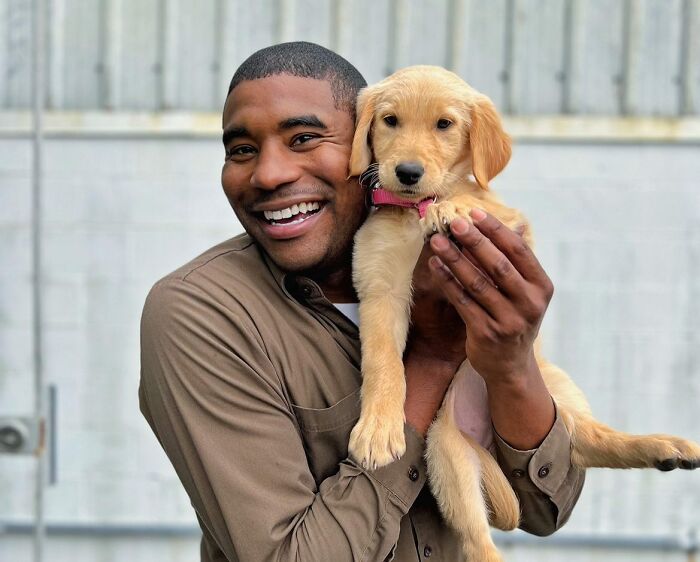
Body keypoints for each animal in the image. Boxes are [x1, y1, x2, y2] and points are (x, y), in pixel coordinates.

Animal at [348, 66, 700, 560]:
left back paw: (663, 445)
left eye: (444, 124)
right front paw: (379, 429)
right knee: (481, 541)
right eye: (390, 120)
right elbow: (384, 364)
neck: (413, 212)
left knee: (583, 441)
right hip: (445, 454)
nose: (408, 172)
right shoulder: (380, 288)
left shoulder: (513, 226)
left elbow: (478, 202)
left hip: (552, 385)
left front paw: (453, 207)